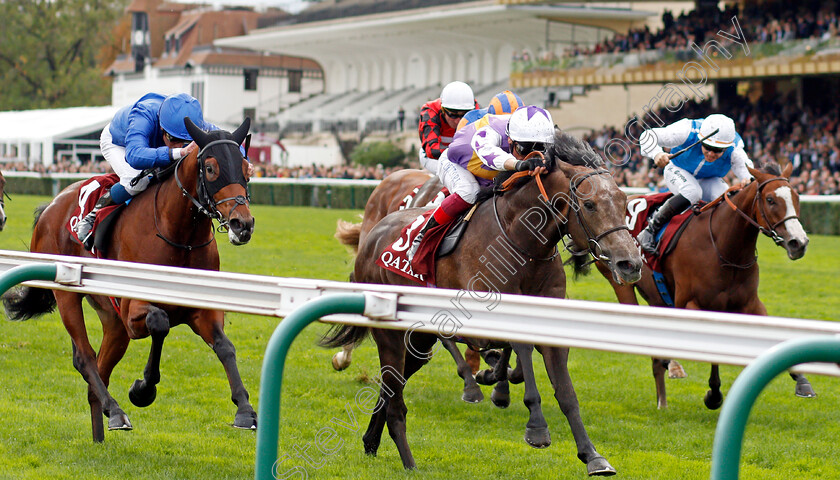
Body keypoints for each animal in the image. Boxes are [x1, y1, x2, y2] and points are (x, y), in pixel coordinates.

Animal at [1, 118, 258, 440]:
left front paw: (245, 410)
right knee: (84, 357)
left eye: (247, 168)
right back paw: (116, 411)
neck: (178, 236)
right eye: (210, 168)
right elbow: (160, 323)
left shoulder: (202, 310)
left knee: (99, 370)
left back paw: (102, 429)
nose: (242, 224)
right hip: (69, 295)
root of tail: (50, 207)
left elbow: (225, 347)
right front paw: (142, 390)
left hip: (113, 322)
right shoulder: (133, 311)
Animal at [324, 132, 644, 476]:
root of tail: (372, 237)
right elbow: (516, 353)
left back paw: (372, 440)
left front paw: (593, 456)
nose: (630, 263)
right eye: (589, 204)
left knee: (392, 384)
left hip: (418, 340)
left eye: (624, 203)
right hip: (394, 333)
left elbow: (565, 392)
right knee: (397, 390)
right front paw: (534, 424)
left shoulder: (549, 326)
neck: (522, 244)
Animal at [592, 161, 812, 408]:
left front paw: (802, 381)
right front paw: (713, 394)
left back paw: (663, 395)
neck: (725, 248)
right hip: (622, 279)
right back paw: (671, 367)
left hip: (657, 295)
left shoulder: (750, 303)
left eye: (796, 196)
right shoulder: (692, 303)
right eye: (771, 199)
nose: (799, 243)